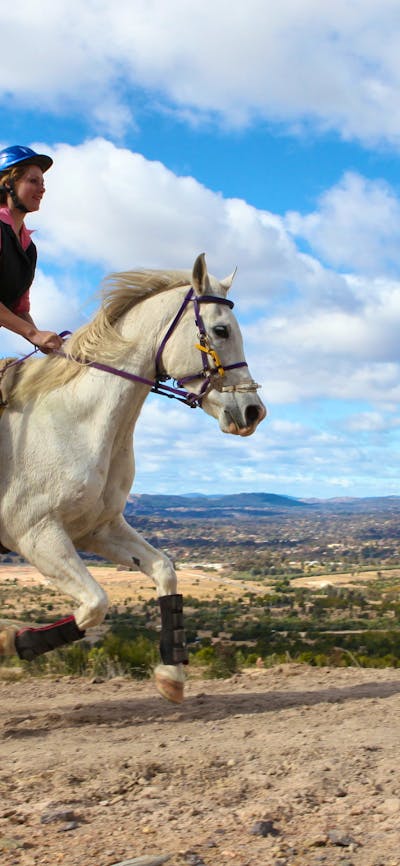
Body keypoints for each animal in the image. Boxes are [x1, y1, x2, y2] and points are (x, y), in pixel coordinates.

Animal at [0, 253, 266, 702]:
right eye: (221, 329)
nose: (253, 412)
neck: (75, 422)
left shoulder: (97, 528)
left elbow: (163, 570)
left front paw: (171, 677)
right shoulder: (35, 533)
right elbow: (95, 604)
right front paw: (12, 641)